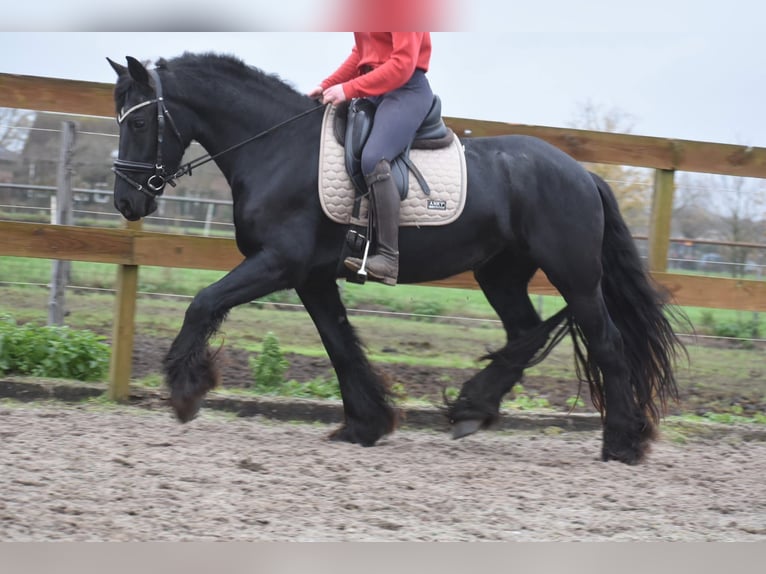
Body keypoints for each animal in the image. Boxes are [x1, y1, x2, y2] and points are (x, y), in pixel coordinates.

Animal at [107, 53, 685, 465]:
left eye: (137, 125)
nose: (127, 203)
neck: (278, 148)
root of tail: (583, 174)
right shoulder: (312, 277)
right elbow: (340, 345)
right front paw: (364, 424)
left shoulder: (278, 263)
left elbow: (203, 303)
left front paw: (186, 390)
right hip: (500, 273)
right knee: (526, 331)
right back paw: (472, 409)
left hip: (575, 276)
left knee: (606, 343)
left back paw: (622, 444)